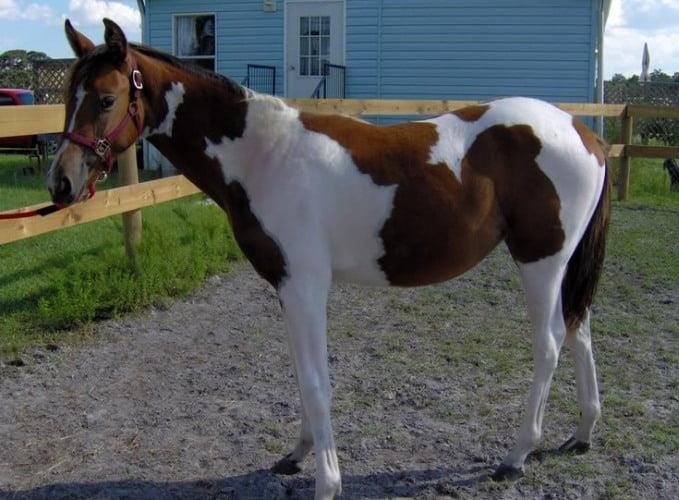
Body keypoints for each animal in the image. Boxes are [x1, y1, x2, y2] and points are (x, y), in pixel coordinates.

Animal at [48, 19, 610, 499]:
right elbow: (301, 377)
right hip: (561, 269)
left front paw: (327, 483)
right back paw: (582, 433)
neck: (264, 155)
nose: (61, 184)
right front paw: (296, 455)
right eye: (67, 97)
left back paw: (516, 455)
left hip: (541, 263)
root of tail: (585, 134)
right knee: (579, 330)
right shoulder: (286, 288)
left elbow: (317, 384)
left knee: (550, 346)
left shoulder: (305, 287)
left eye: (106, 98)